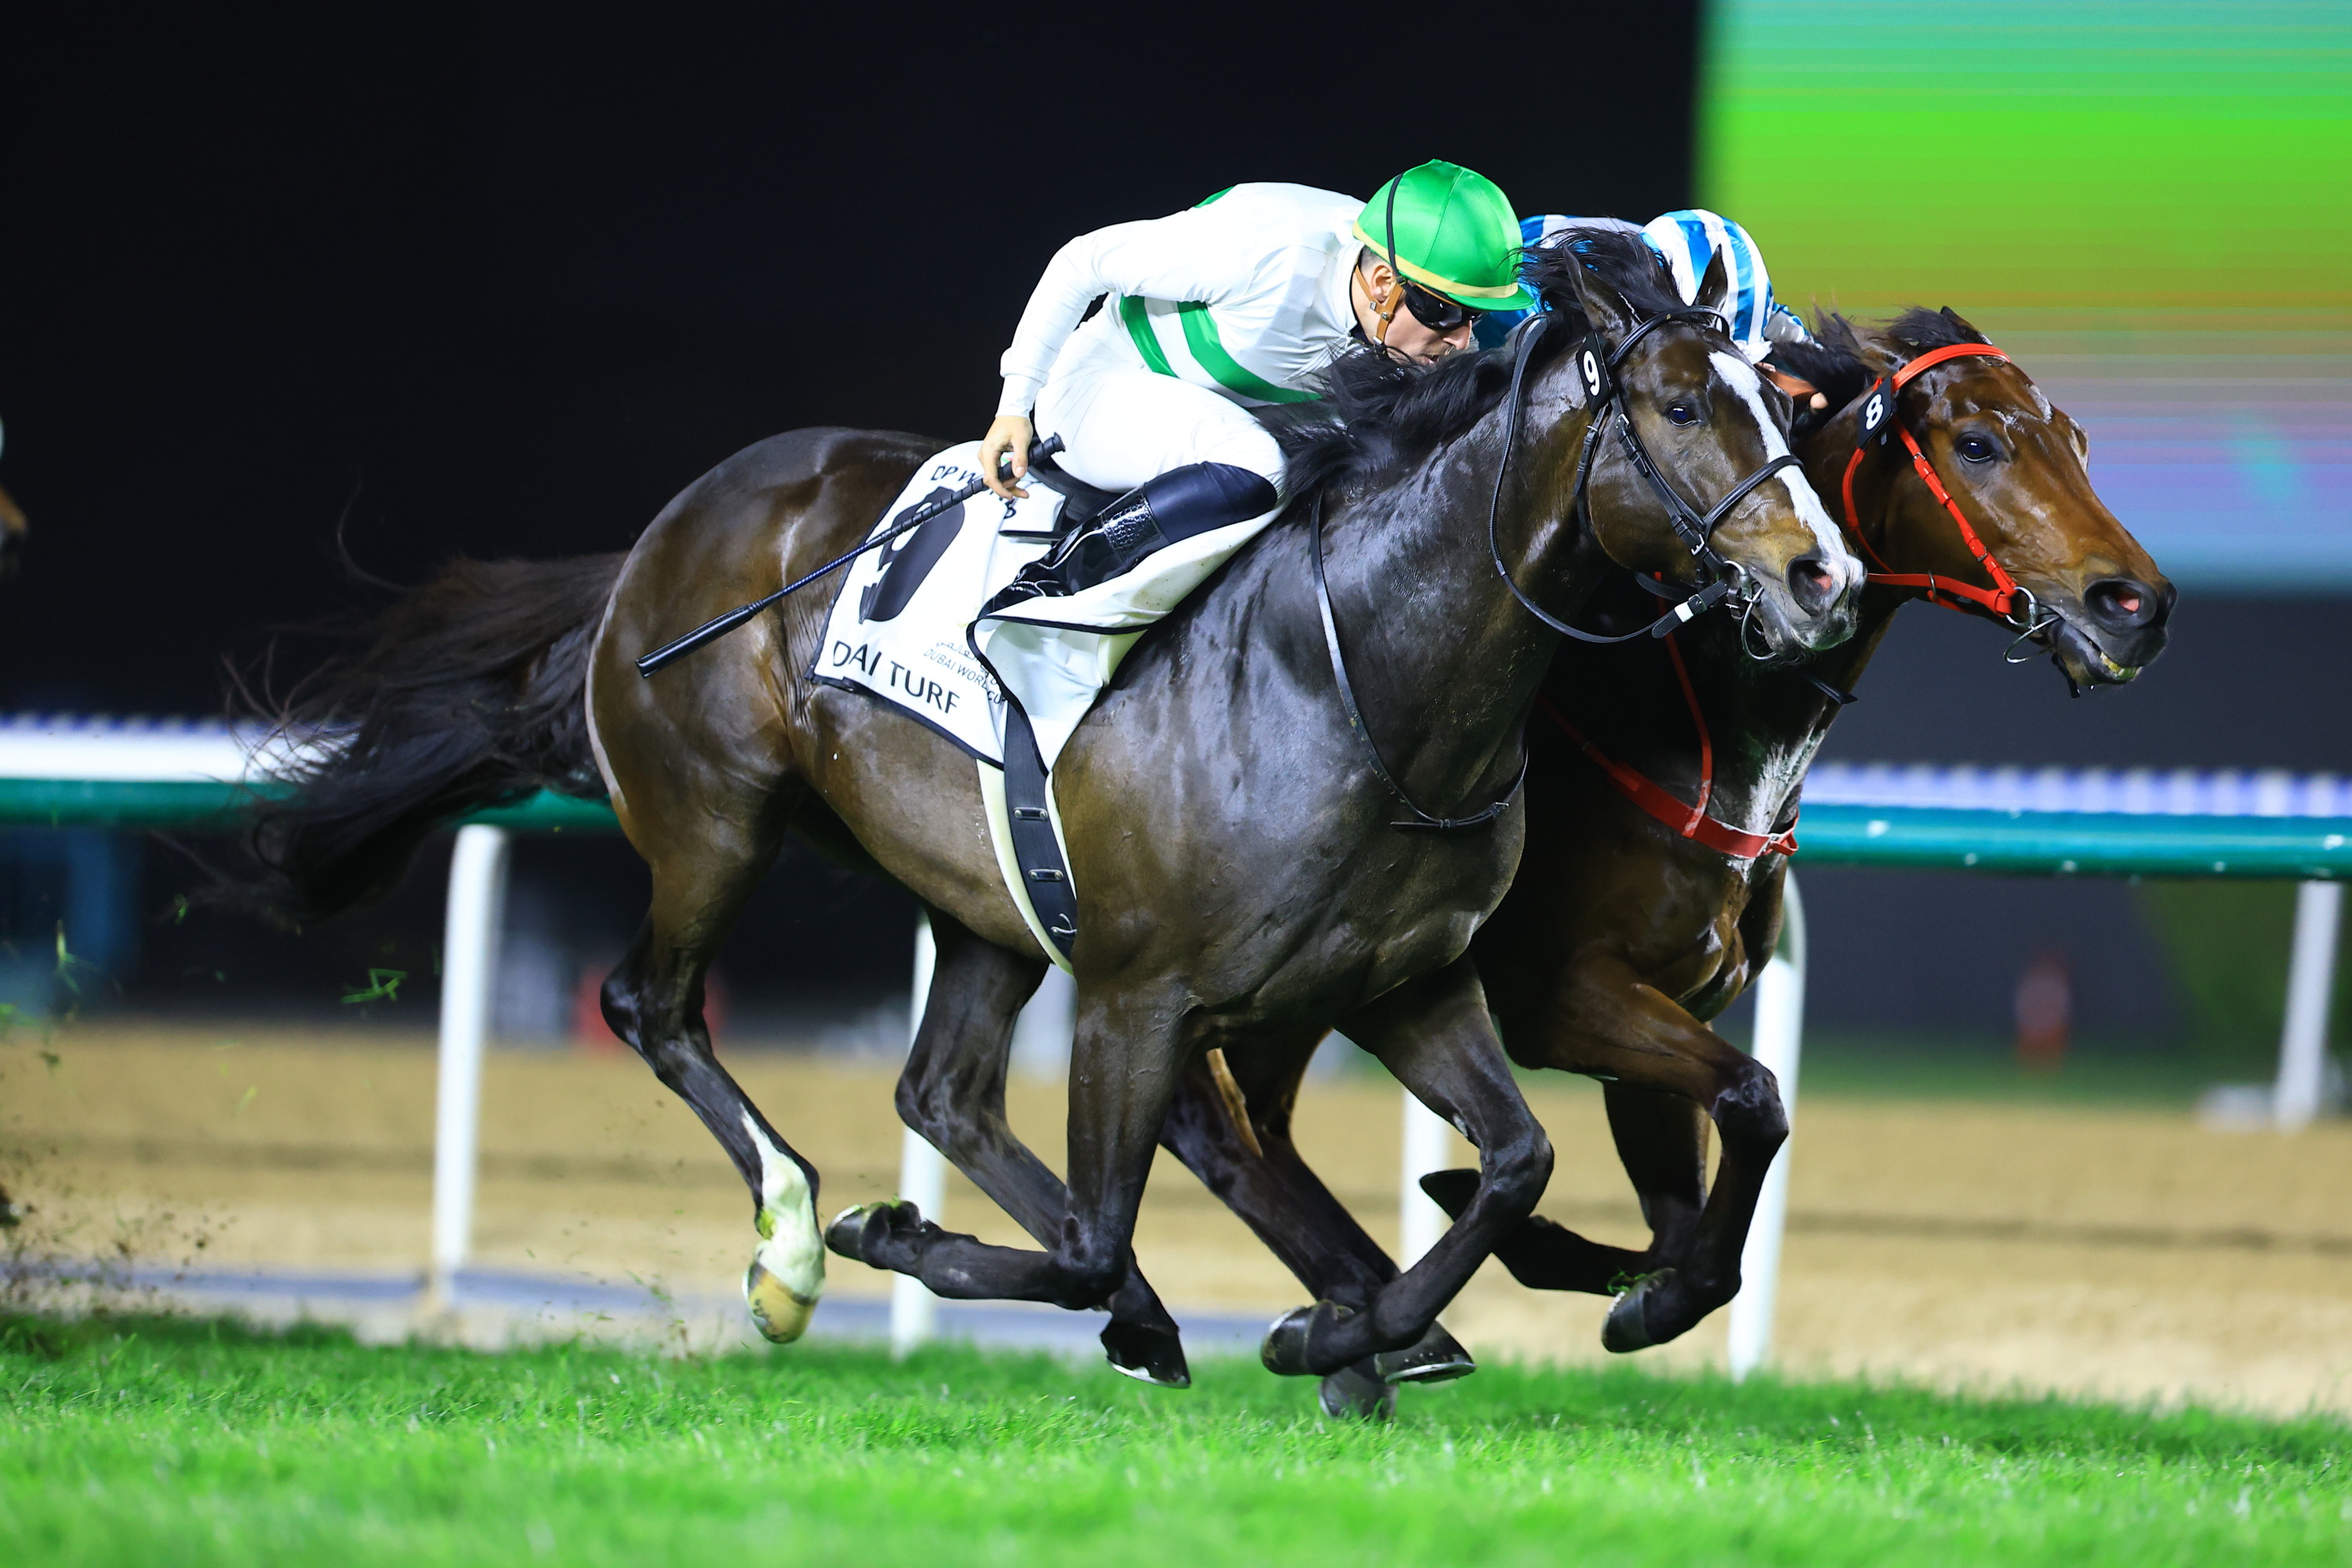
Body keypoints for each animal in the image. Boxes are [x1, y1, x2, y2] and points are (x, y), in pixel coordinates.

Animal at [243, 229, 1862, 1387]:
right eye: (1677, 405)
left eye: (1781, 407)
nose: (1822, 573)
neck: (1360, 677)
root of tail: (670, 530)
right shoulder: (1139, 997)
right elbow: (1092, 1237)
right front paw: (890, 1233)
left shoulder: (1406, 982)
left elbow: (1515, 1165)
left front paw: (1341, 1329)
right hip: (715, 817)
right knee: (655, 1005)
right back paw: (795, 1246)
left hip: (982, 903)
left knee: (942, 1092)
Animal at [1122, 304, 2172, 1412]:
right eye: (1976, 443)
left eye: (2080, 441)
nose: (2136, 603)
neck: (1687, 713)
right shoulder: (1561, 992)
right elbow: (1753, 1100)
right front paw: (1570, 1268)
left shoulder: (1668, 999)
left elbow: (1692, 1204)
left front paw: (1613, 1278)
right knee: (1219, 1117)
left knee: (1249, 1122)